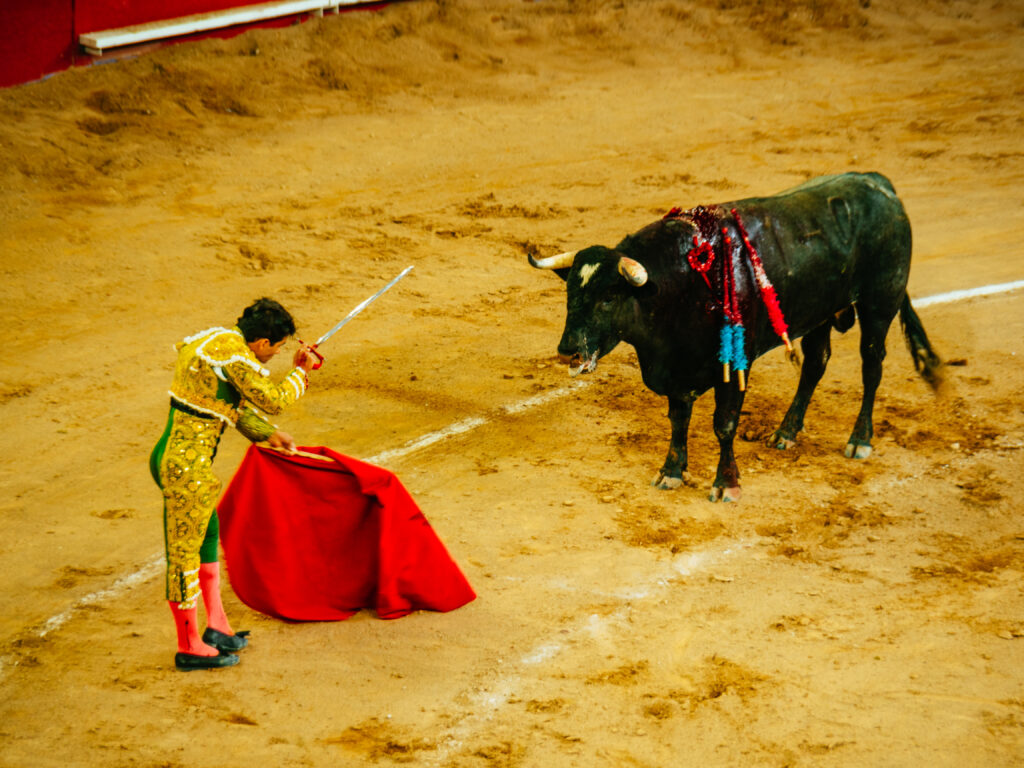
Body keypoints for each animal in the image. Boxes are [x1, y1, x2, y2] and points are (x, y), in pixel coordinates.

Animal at [532, 171, 937, 501]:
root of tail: (879, 184)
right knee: (815, 364)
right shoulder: (678, 371)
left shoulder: (734, 366)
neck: (683, 284)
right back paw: (786, 432)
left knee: (872, 366)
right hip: (820, 314)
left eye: (608, 298)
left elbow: (724, 425)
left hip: (879, 303)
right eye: (570, 292)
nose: (567, 350)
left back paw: (859, 439)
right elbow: (678, 420)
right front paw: (671, 472)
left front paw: (726, 483)